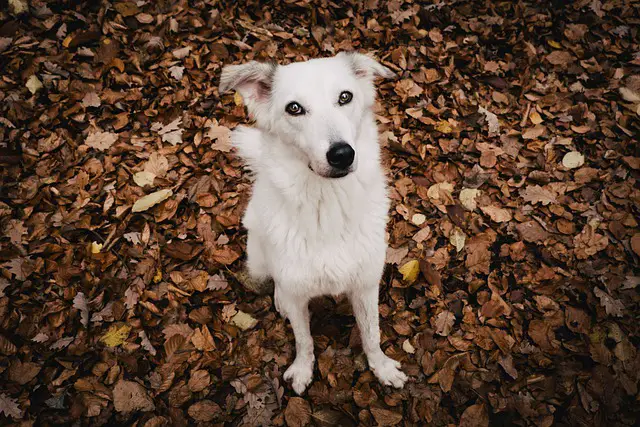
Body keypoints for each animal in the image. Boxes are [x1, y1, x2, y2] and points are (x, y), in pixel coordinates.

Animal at [220, 52, 408, 394]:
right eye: (294, 108)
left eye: (345, 97)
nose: (342, 154)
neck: (327, 206)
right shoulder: (297, 294)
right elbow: (303, 339)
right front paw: (303, 369)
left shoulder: (365, 285)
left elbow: (371, 333)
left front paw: (382, 367)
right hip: (258, 257)